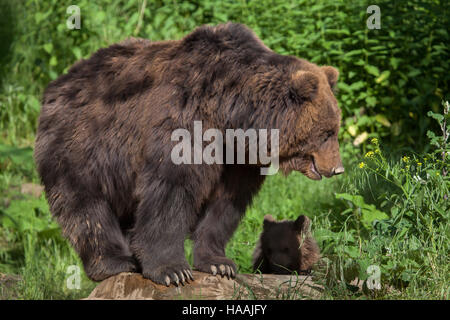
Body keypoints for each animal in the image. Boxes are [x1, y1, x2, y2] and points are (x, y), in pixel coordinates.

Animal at [34, 23, 344, 288]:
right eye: (327, 132)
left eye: (336, 127)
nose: (338, 169)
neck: (232, 114)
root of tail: (57, 84)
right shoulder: (185, 123)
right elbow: (171, 192)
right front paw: (172, 270)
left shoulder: (236, 159)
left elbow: (224, 205)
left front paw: (219, 263)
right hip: (81, 147)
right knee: (86, 206)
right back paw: (114, 262)